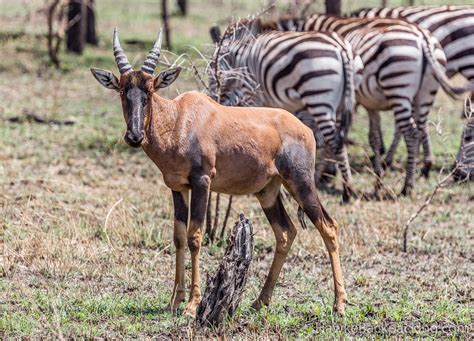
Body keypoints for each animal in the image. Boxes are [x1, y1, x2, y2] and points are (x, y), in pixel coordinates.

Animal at [90, 28, 346, 316]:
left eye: (150, 91)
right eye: (123, 90)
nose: (134, 136)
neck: (179, 119)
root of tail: (306, 129)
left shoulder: (202, 182)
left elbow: (195, 236)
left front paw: (192, 305)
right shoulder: (177, 187)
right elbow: (178, 237)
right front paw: (174, 301)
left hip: (300, 182)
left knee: (329, 227)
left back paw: (339, 304)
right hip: (268, 191)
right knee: (285, 232)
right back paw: (260, 301)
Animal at [208, 18, 362, 201]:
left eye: (212, 73)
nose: (211, 96)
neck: (239, 58)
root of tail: (341, 47)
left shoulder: (251, 92)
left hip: (318, 97)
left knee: (336, 143)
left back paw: (347, 191)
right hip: (340, 101)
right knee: (338, 139)